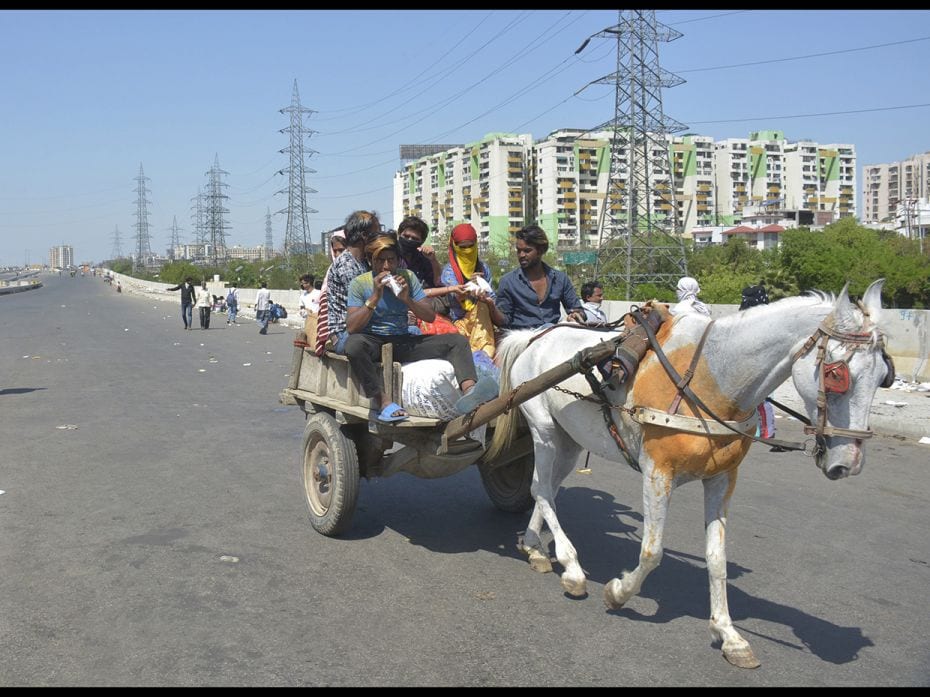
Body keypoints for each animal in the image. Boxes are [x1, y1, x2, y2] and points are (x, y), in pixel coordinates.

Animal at [482, 278, 888, 668]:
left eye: (884, 374)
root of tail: (532, 336)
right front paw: (618, 593)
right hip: (544, 429)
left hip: (569, 439)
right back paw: (572, 568)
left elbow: (716, 558)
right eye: (837, 375)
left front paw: (729, 635)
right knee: (540, 489)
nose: (848, 462)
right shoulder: (657, 472)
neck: (712, 377)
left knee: (547, 489)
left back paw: (534, 546)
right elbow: (652, 551)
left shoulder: (723, 478)